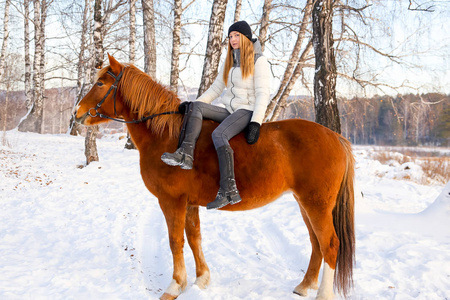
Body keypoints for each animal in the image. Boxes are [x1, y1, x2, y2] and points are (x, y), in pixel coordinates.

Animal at [74, 54, 356, 300]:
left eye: (100, 83)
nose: (77, 112)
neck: (168, 136)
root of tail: (336, 138)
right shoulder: (189, 204)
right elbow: (194, 238)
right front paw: (201, 280)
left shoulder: (171, 201)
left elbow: (175, 241)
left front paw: (175, 286)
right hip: (305, 204)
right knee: (316, 244)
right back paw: (304, 285)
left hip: (316, 204)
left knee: (330, 244)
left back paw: (323, 293)